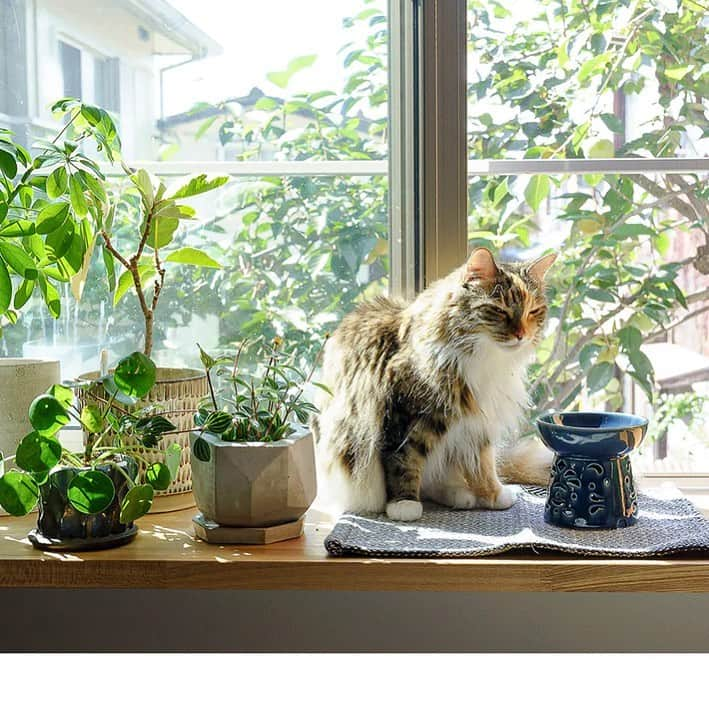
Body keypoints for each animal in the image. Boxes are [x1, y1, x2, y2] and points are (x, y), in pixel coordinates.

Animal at [312, 248, 556, 520]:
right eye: (500, 310)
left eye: (533, 311)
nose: (521, 335)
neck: (486, 359)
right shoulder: (403, 414)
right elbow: (403, 460)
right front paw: (404, 505)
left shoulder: (478, 423)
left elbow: (484, 464)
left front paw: (494, 494)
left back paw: (459, 495)